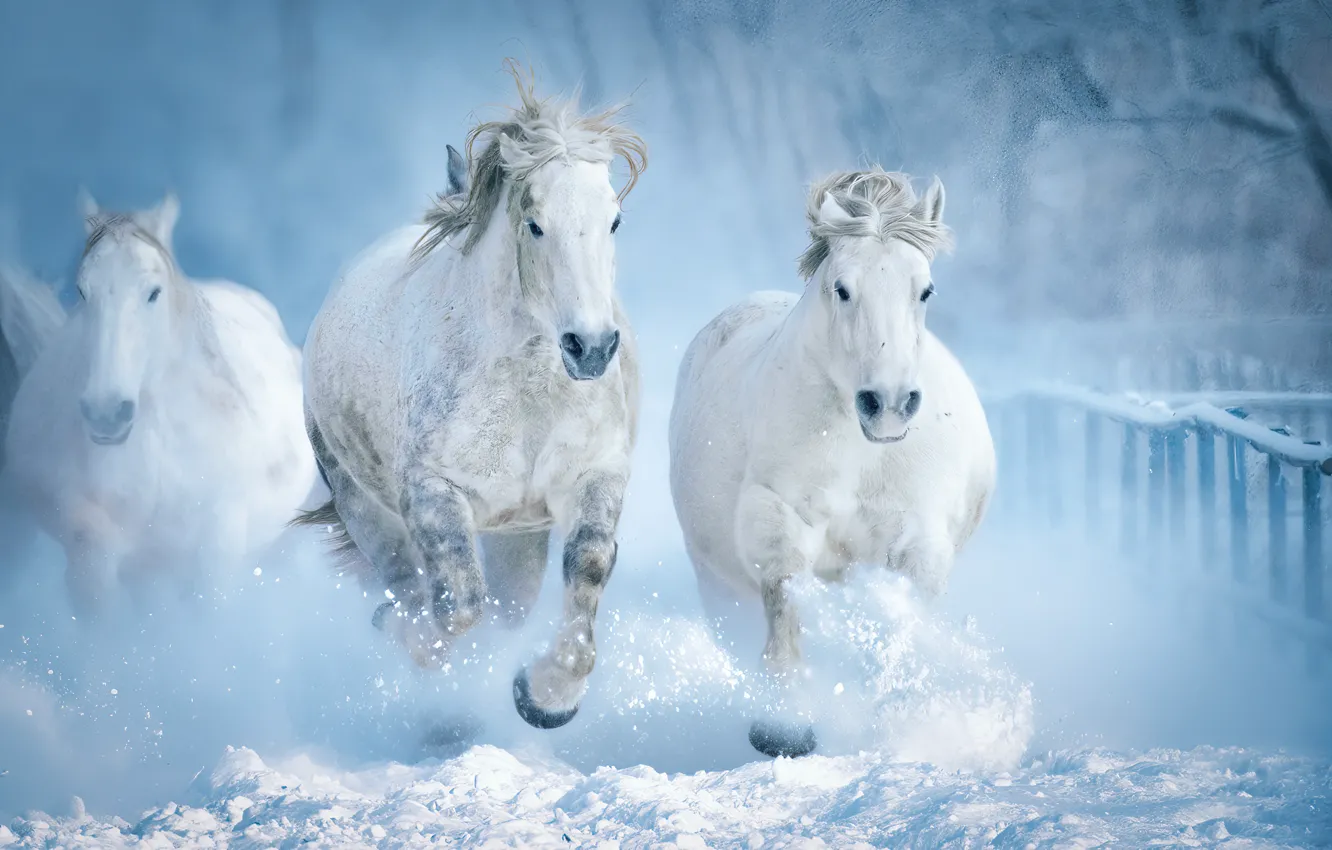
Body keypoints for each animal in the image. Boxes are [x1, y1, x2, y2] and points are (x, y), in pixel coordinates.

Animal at [294, 65, 647, 731]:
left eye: (614, 221)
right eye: (535, 224)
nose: (590, 348)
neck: (527, 396)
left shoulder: (595, 475)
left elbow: (586, 569)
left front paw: (545, 697)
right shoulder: (432, 492)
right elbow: (455, 605)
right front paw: (427, 653)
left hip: (517, 537)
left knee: (509, 607)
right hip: (362, 504)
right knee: (409, 586)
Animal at [668, 169, 995, 759]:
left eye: (925, 289)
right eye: (842, 288)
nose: (887, 402)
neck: (865, 454)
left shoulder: (921, 536)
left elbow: (902, 618)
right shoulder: (774, 511)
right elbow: (785, 595)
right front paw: (783, 724)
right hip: (717, 584)